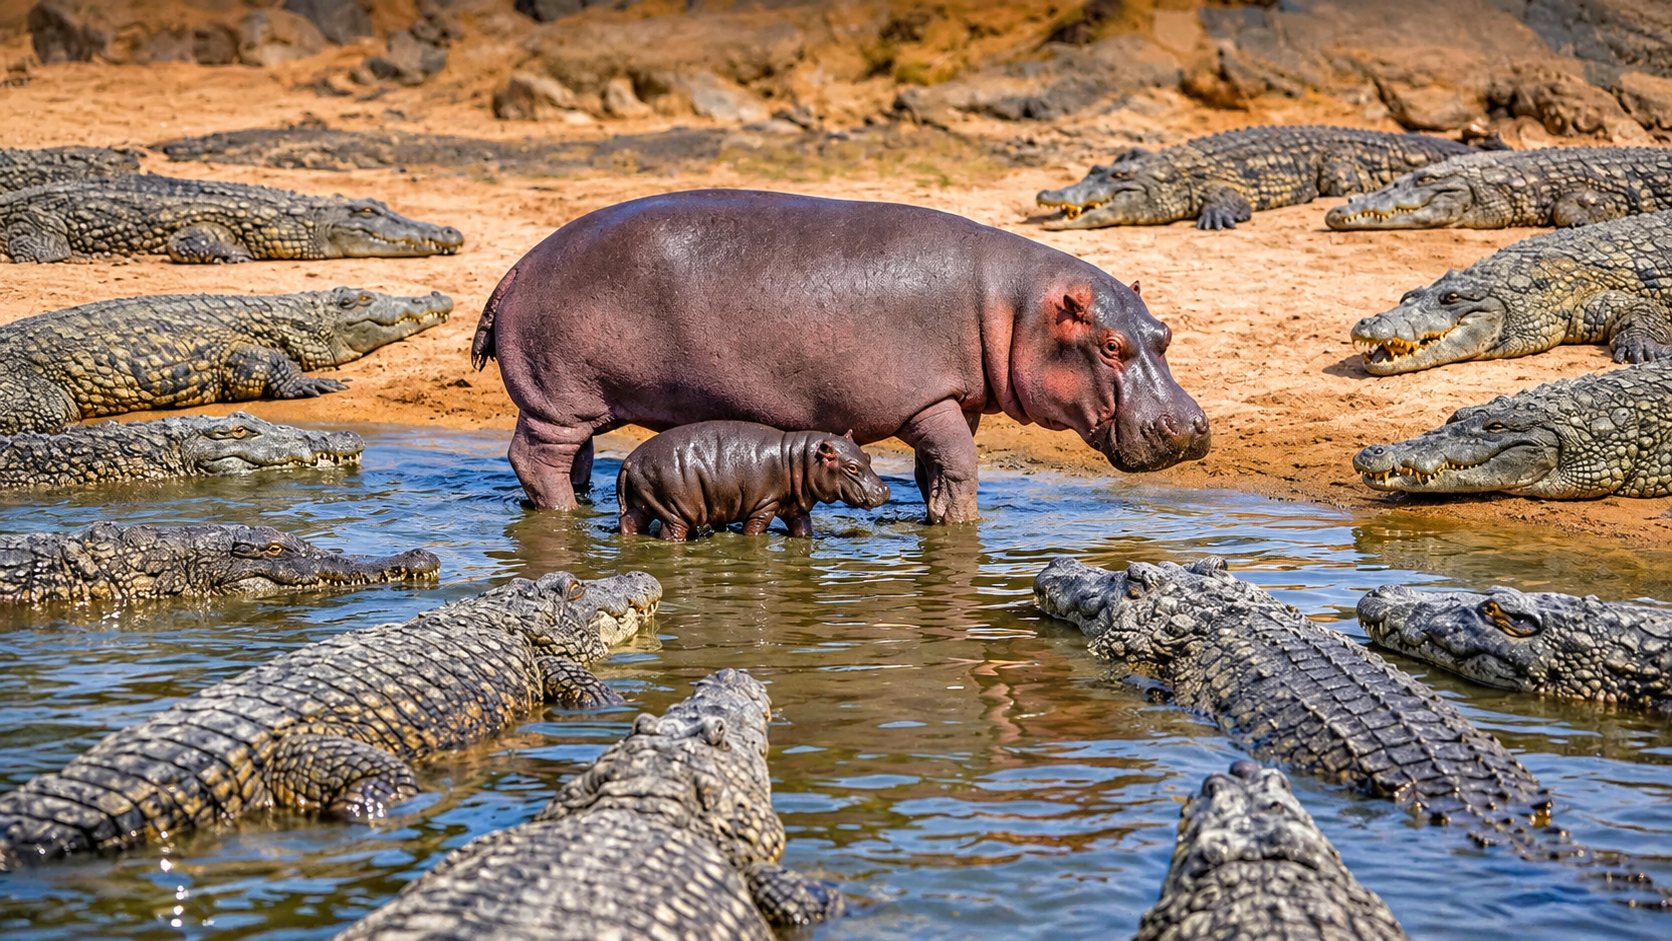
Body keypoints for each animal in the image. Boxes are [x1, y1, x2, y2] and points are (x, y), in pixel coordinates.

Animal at [473, 189, 1210, 523]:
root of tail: (517, 264)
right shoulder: (928, 400)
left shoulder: (955, 400)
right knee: (533, 457)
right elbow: (963, 468)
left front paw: (934, 515)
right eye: (1111, 346)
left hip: (580, 405)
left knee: (572, 458)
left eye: (1165, 332)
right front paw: (963, 526)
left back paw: (577, 502)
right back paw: (565, 518)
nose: (1193, 427)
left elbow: (936, 469)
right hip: (558, 400)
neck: (1014, 307)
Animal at [617, 421, 892, 539]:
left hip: (643, 502)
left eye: (868, 456)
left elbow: (803, 529)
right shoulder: (764, 506)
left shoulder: (796, 508)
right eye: (852, 467)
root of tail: (629, 461)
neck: (800, 458)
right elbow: (755, 531)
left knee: (630, 522)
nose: (885, 490)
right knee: (670, 533)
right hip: (676, 509)